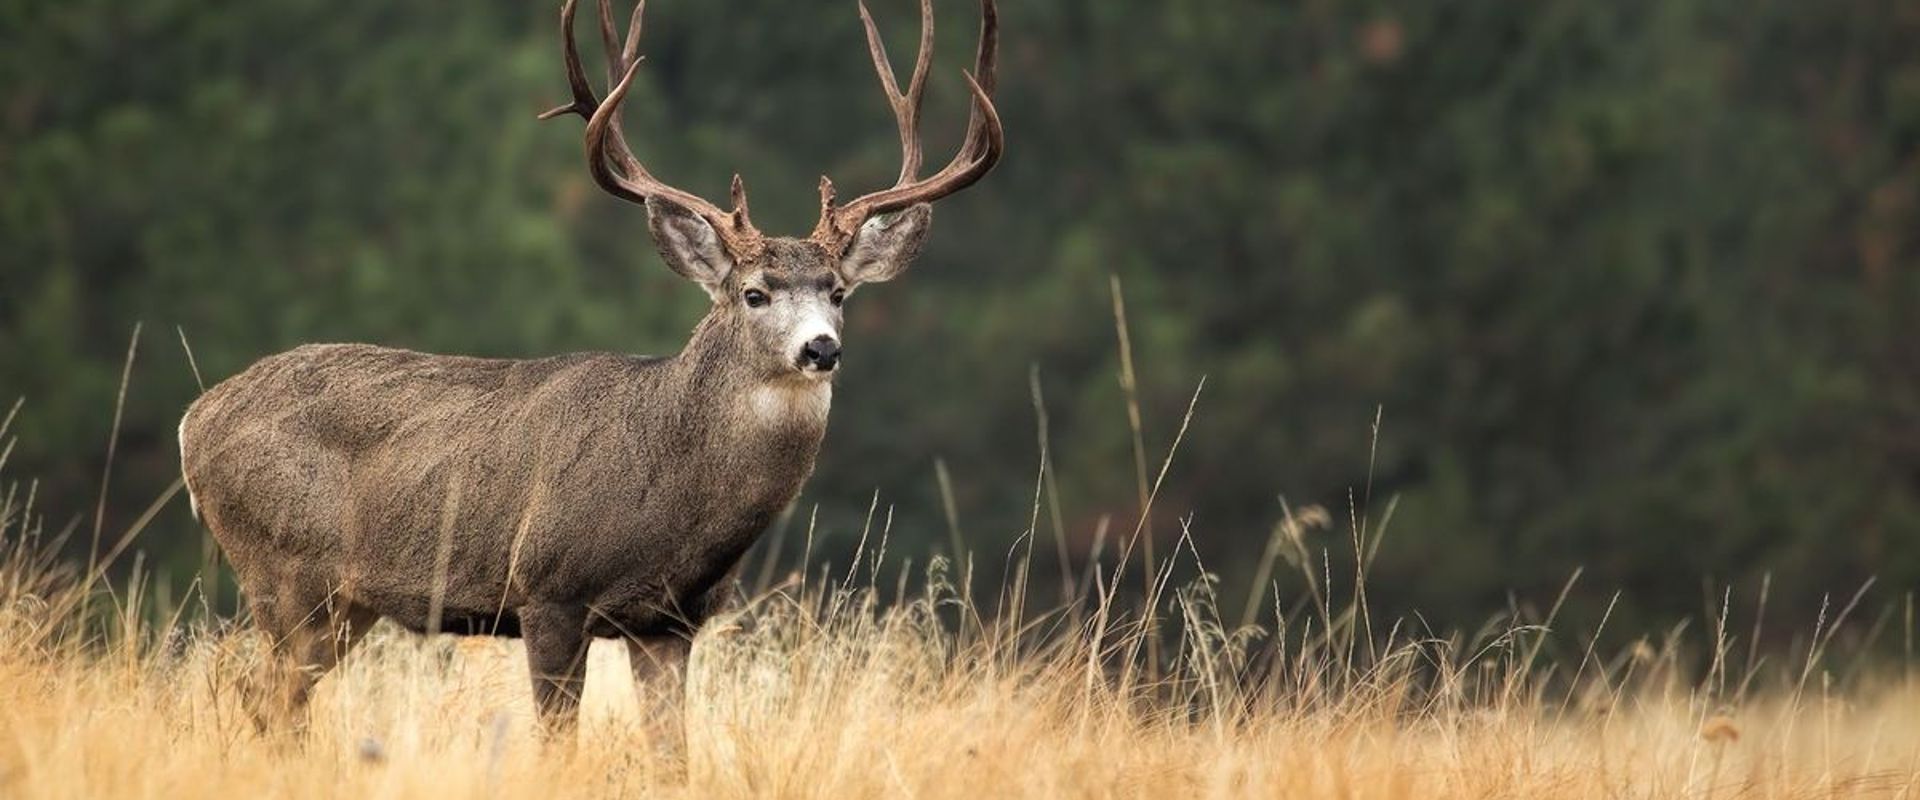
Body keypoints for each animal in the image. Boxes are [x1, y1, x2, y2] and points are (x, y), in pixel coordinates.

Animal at [176, 0, 1001, 733]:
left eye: (837, 292)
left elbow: (673, 754)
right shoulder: (547, 592)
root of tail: (196, 419)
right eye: (755, 293)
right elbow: (554, 740)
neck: (673, 495)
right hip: (283, 569)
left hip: (343, 602)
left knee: (273, 702)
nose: (820, 348)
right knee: (265, 697)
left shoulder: (672, 621)